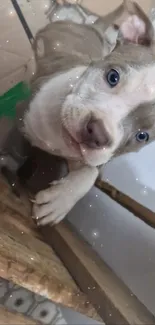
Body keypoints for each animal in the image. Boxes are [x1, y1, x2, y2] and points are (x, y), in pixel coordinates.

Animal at [23, 0, 155, 225]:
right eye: (112, 76)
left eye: (142, 136)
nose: (98, 134)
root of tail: (94, 27)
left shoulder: (91, 159)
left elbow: (90, 173)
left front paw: (59, 201)